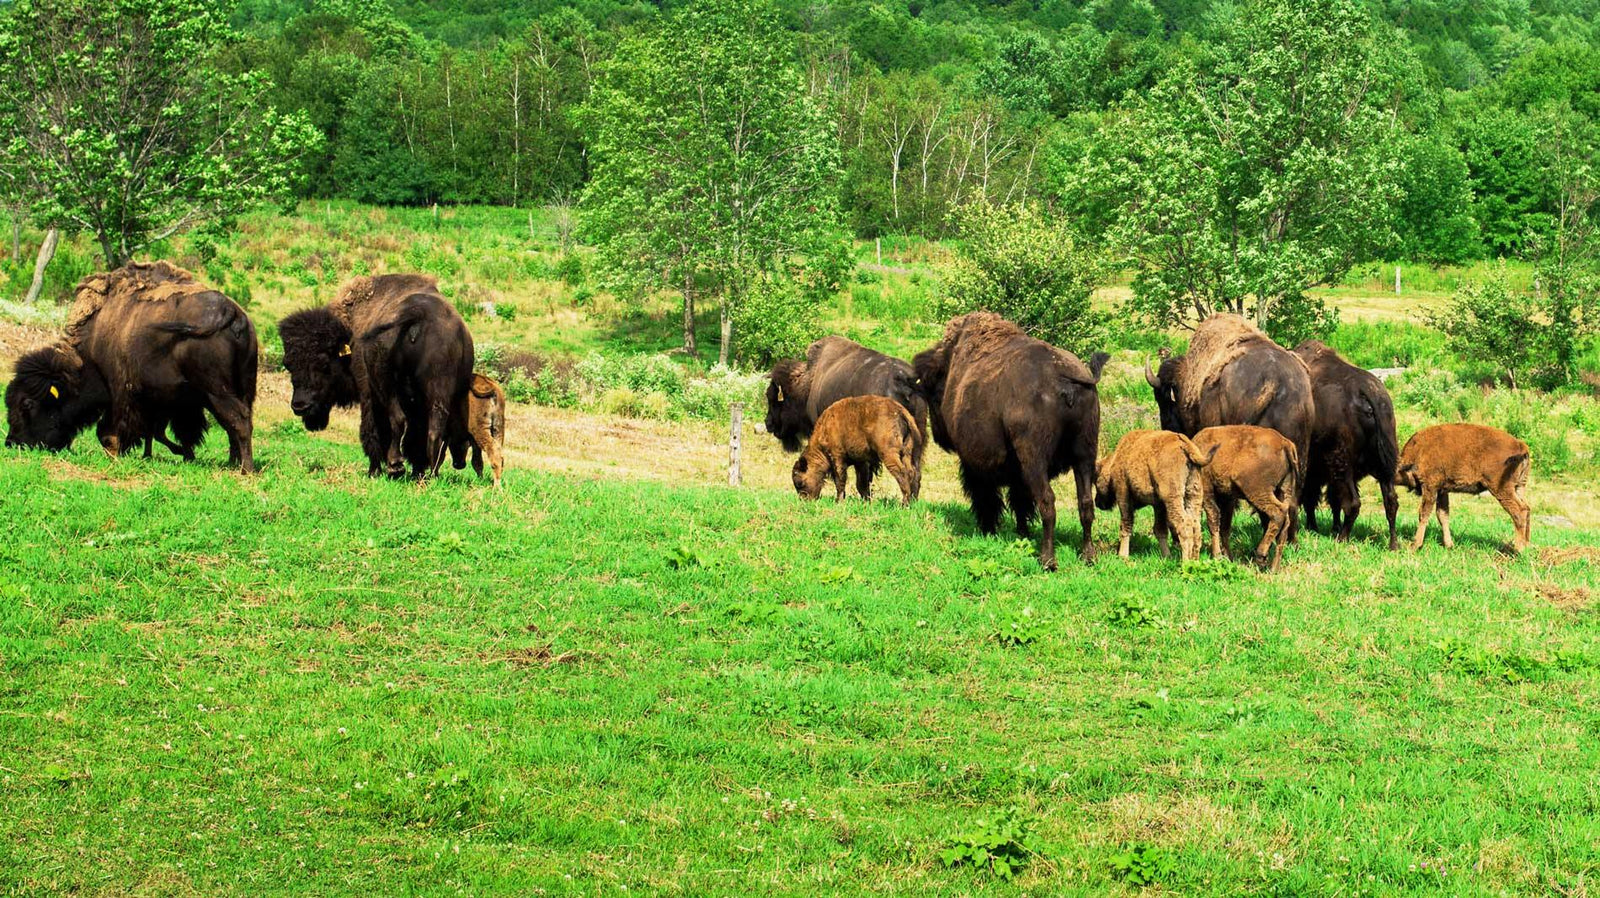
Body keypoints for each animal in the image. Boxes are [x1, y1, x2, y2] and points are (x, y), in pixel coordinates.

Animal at [5, 261, 257, 471]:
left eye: (27, 404)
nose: (12, 442)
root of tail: (230, 311)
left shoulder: (123, 393)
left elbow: (112, 432)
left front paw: (117, 453)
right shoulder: (167, 401)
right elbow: (162, 432)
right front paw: (174, 455)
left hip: (216, 392)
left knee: (239, 420)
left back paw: (246, 469)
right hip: (238, 389)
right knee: (234, 423)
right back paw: (232, 462)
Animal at [279, 274, 474, 478]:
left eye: (324, 364)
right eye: (288, 364)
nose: (300, 405)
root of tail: (419, 313)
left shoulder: (367, 392)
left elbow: (372, 430)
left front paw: (374, 470)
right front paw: (416, 469)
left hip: (386, 389)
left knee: (397, 420)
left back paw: (395, 465)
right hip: (441, 391)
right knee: (435, 428)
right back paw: (429, 474)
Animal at [766, 335, 926, 498]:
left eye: (774, 400)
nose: (768, 423)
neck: (808, 382)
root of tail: (905, 380)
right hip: (917, 439)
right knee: (916, 472)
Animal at [914, 312, 1108, 570]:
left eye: (932, 391)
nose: (939, 436)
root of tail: (1065, 375)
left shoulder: (974, 462)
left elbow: (988, 497)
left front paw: (988, 529)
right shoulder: (1018, 471)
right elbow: (1020, 501)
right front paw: (1021, 532)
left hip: (1035, 459)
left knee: (1047, 501)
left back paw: (1048, 560)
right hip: (1085, 454)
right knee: (1085, 503)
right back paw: (1088, 556)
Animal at [1293, 340, 1401, 548]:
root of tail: (1367, 392)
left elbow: (1313, 497)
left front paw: (1314, 526)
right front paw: (1329, 526)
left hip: (1343, 465)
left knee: (1353, 503)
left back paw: (1342, 538)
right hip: (1385, 467)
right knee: (1390, 502)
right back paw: (1393, 545)